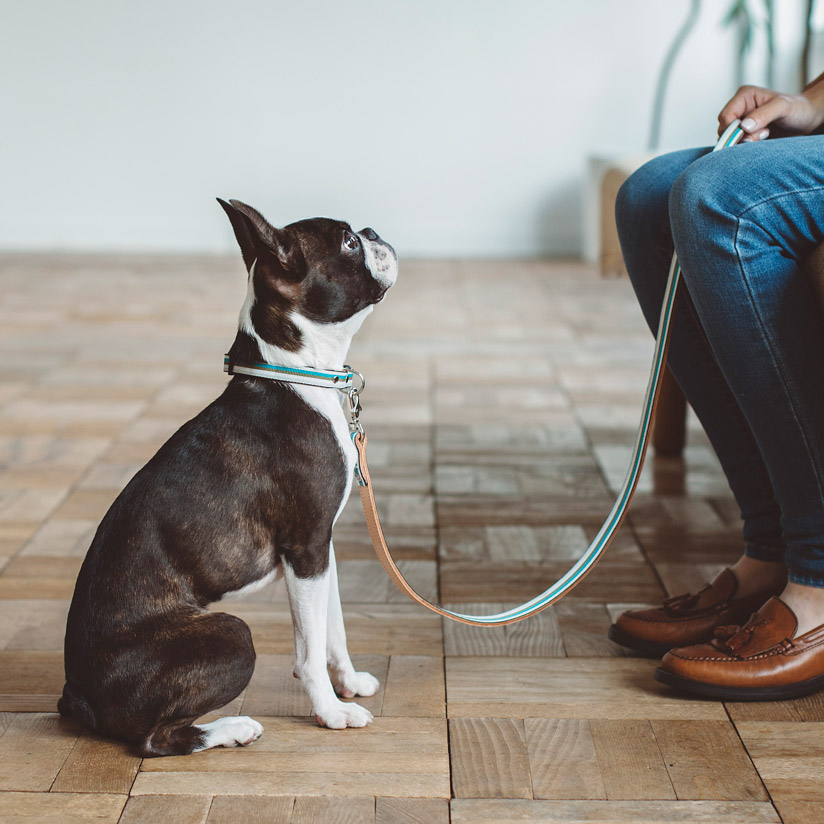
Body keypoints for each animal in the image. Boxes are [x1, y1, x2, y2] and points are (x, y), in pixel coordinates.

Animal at [57, 200, 396, 752]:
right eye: (348, 243)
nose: (372, 231)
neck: (296, 374)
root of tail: (78, 693)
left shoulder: (321, 551)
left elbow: (333, 627)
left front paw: (348, 683)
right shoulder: (306, 548)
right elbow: (308, 648)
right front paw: (331, 712)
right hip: (234, 634)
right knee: (155, 739)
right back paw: (233, 728)